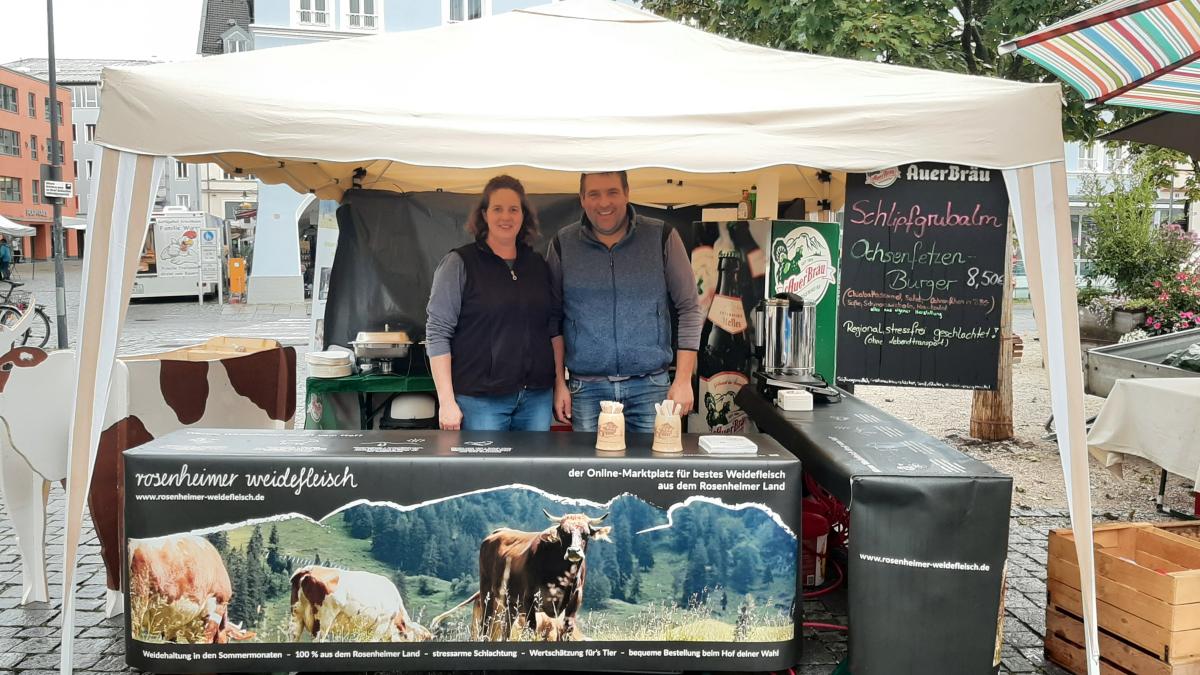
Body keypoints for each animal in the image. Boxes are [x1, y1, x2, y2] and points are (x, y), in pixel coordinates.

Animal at [429, 506, 609, 638]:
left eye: (586, 534)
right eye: (563, 533)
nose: (573, 551)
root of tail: (497, 532)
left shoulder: (574, 601)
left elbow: (566, 630)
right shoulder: (530, 599)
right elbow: (531, 630)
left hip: (511, 604)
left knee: (505, 629)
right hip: (488, 594)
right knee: (486, 626)